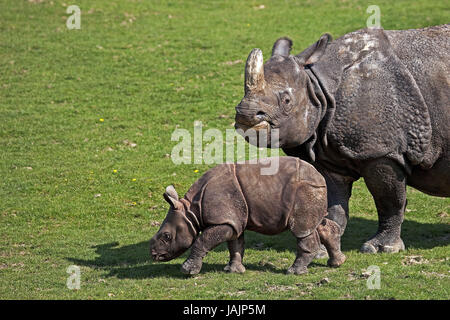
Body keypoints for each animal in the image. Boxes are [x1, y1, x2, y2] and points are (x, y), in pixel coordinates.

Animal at [149, 158, 346, 276]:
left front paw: (187, 271)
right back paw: (337, 263)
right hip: (312, 190)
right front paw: (234, 270)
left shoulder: (224, 220)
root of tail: (319, 176)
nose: (154, 255)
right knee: (318, 224)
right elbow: (235, 245)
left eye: (166, 236)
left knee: (302, 230)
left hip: (304, 190)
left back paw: (294, 272)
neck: (191, 210)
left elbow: (202, 240)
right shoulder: (233, 221)